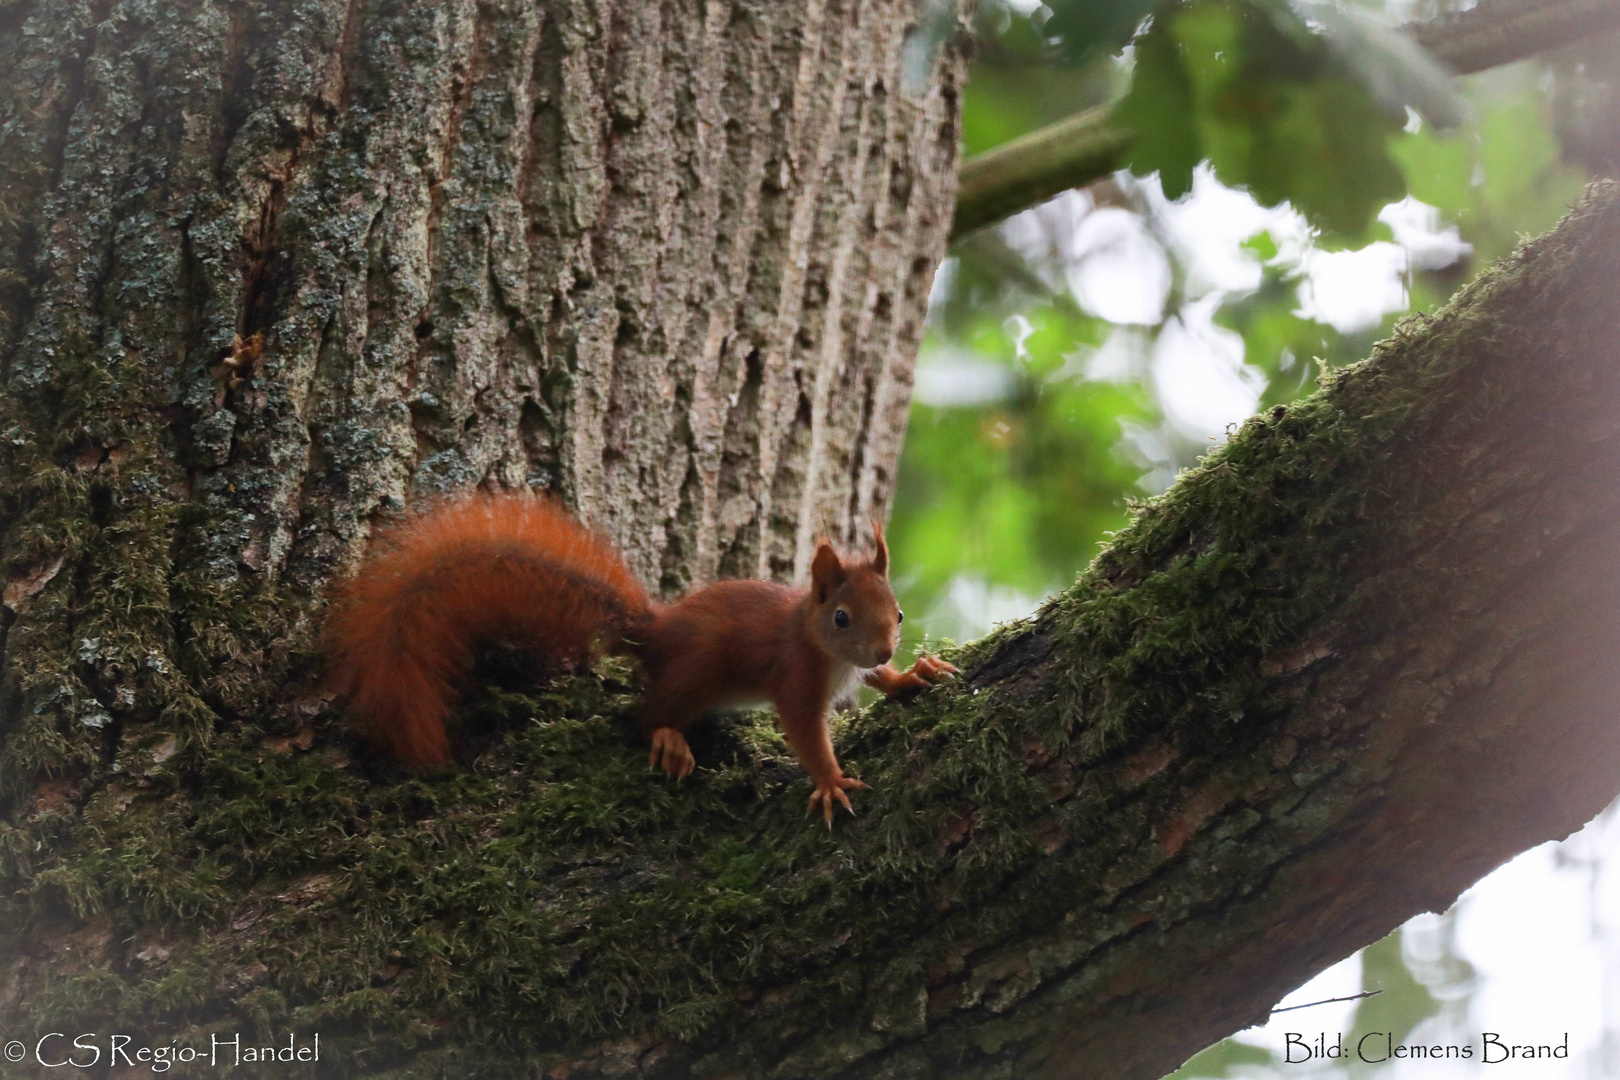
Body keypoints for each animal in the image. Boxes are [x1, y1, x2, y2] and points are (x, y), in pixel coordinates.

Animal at [324, 495, 952, 822]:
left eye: (897, 613)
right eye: (841, 618)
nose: (885, 644)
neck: (817, 640)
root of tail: (655, 633)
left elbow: (879, 679)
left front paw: (913, 674)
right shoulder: (794, 676)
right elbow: (804, 731)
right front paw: (829, 781)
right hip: (699, 671)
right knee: (644, 715)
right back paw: (669, 739)